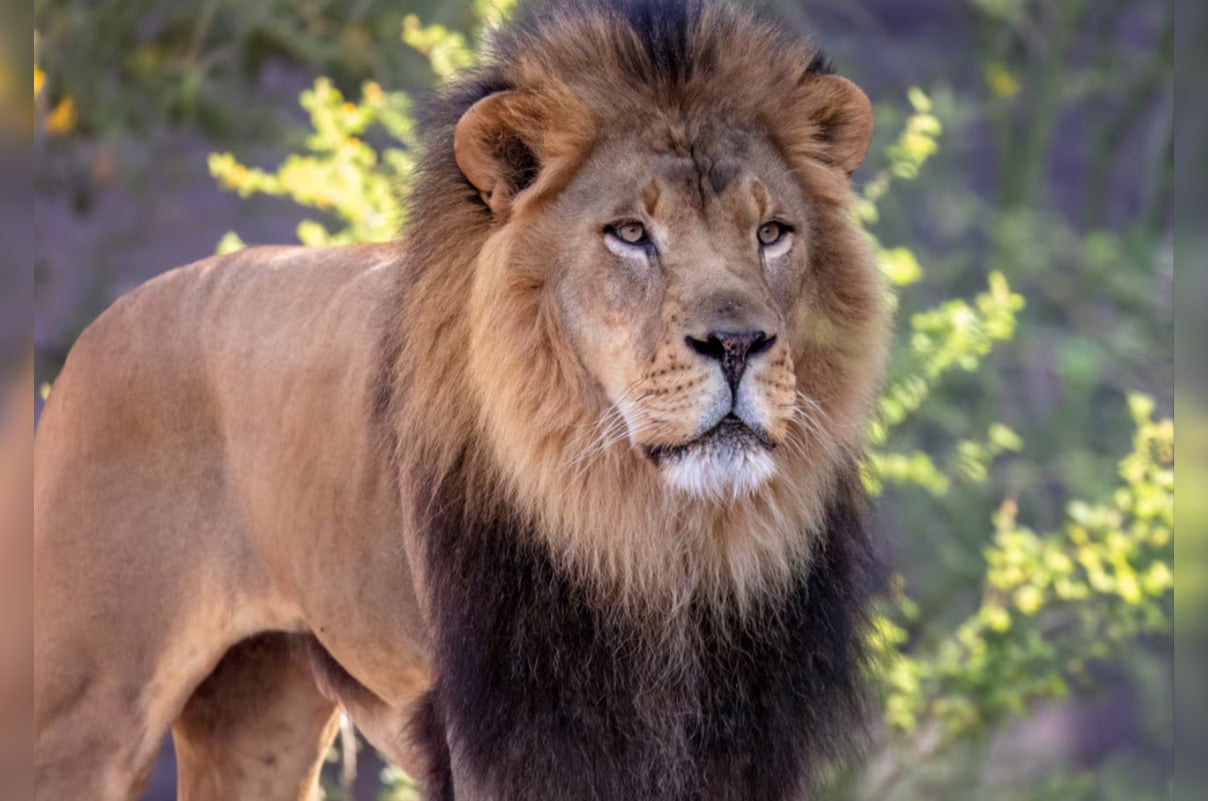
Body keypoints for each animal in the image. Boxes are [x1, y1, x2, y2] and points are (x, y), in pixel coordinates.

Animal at [33, 1, 893, 801]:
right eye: (629, 233)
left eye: (772, 232)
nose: (739, 343)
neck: (654, 545)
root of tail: (96, 332)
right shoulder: (502, 738)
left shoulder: (749, 744)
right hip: (77, 711)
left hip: (259, 712)